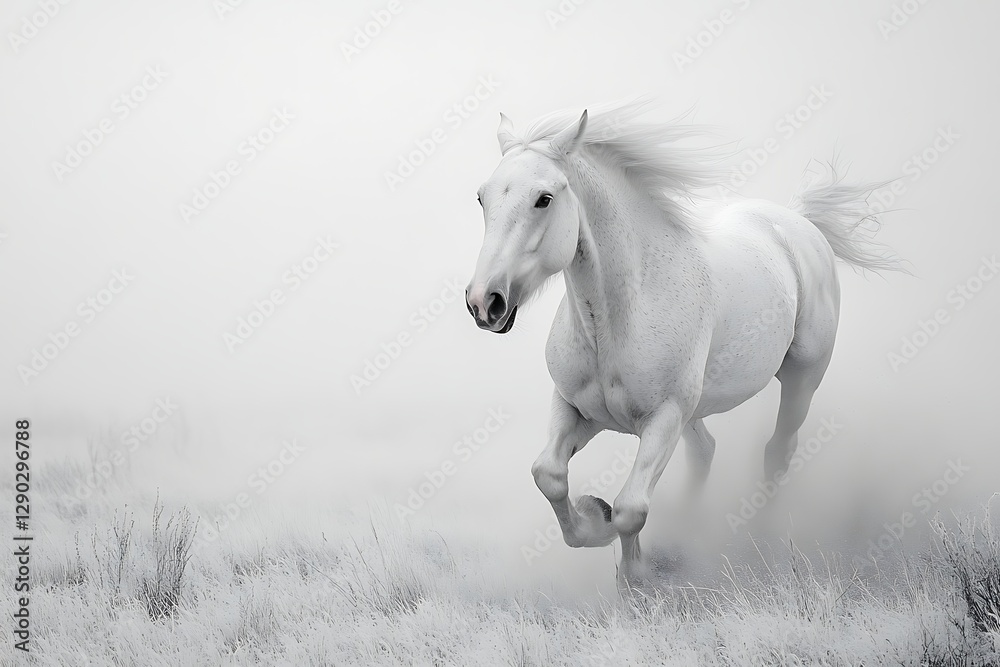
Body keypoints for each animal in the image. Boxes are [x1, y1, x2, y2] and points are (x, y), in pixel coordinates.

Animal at [463, 101, 902, 588]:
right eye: (482, 198)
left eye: (544, 198)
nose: (484, 303)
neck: (618, 320)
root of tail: (798, 222)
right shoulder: (576, 408)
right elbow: (549, 475)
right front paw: (594, 516)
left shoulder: (663, 418)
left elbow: (631, 508)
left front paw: (634, 576)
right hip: (696, 406)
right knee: (705, 451)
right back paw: (687, 535)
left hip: (801, 378)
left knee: (777, 451)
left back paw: (758, 538)